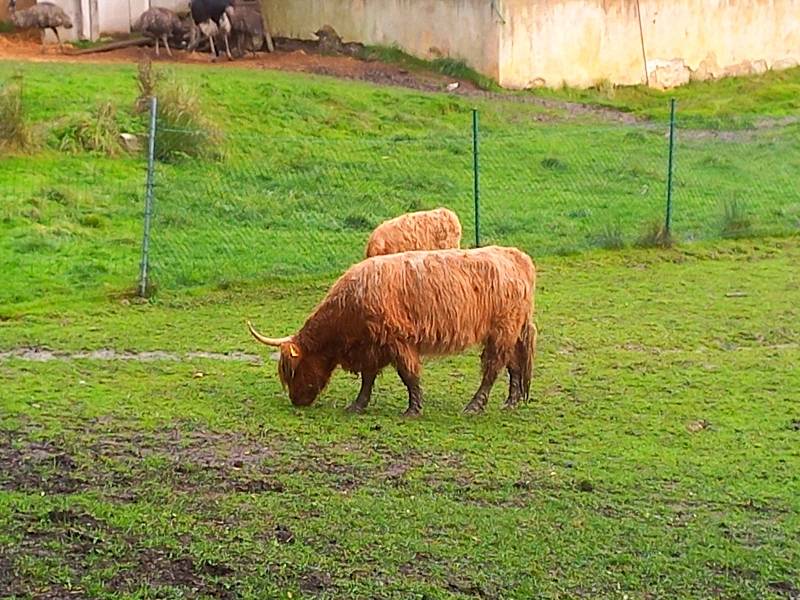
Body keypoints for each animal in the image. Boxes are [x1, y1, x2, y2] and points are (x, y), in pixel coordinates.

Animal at [250, 246, 536, 414]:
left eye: (293, 370)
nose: (296, 401)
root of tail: (516, 256)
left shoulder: (397, 340)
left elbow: (408, 375)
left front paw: (413, 409)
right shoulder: (371, 346)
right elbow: (368, 377)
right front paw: (357, 405)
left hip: (501, 330)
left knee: (493, 367)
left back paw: (474, 405)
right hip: (508, 332)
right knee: (513, 365)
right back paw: (510, 402)